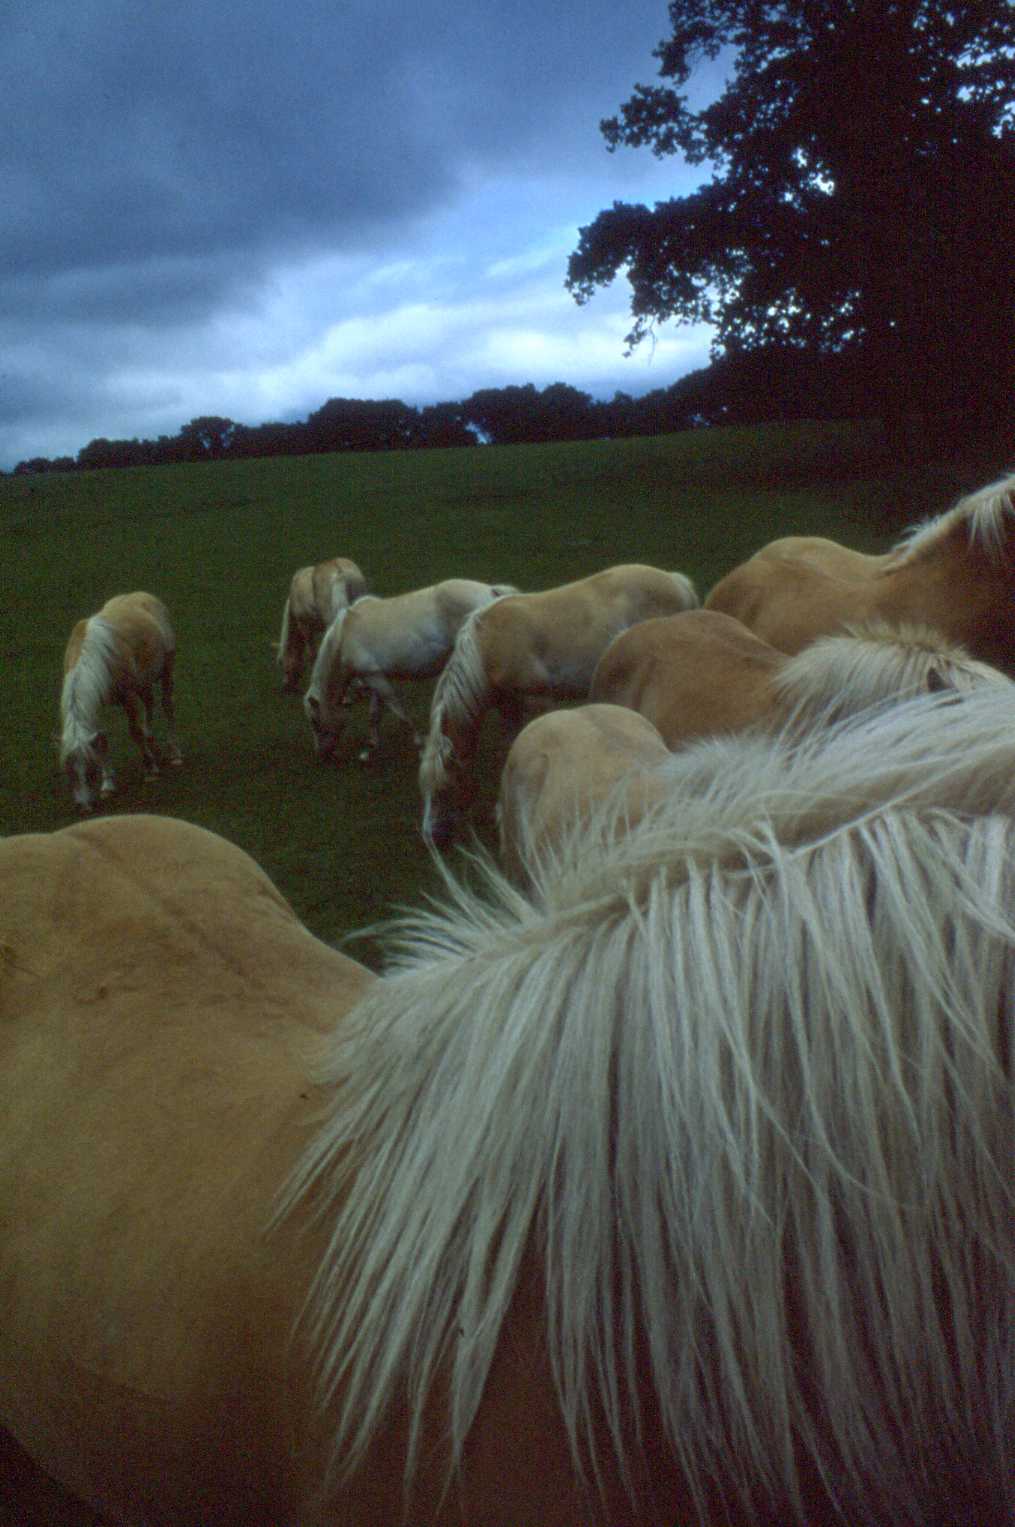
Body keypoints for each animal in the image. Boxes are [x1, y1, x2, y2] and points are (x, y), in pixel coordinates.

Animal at [59, 591, 182, 813]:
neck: (93, 658)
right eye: (69, 773)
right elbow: (102, 740)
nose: (85, 807)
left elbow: (135, 731)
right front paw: (108, 785)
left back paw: (174, 753)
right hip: (144, 682)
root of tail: (144, 595)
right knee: (149, 704)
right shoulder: (96, 704)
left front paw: (150, 769)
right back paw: (152, 742)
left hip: (167, 669)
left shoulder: (128, 696)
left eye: (90, 771)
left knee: (167, 706)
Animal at [304, 579, 515, 764]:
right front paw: (370, 747)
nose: (321, 755)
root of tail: (492, 592)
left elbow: (401, 712)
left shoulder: (376, 679)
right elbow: (374, 714)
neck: (344, 635)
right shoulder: (375, 676)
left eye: (315, 722)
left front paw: (420, 746)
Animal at [419, 563, 699, 845]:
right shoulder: (508, 705)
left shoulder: (537, 700)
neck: (488, 648)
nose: (431, 837)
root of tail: (676, 580)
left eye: (445, 787)